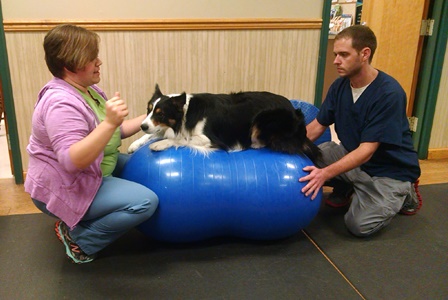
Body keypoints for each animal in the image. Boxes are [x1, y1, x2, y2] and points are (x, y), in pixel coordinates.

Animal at [128, 84, 320, 163]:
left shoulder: (209, 139)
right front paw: (134, 144)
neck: (186, 112)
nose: (142, 126)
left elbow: (180, 139)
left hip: (264, 119)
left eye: (160, 114)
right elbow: (153, 134)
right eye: (149, 110)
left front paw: (159, 144)